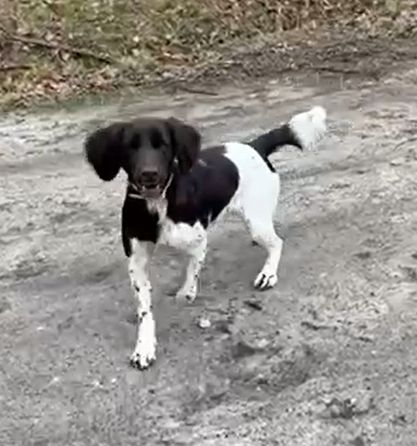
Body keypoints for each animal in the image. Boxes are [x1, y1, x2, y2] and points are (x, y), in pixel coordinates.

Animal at [84, 106, 327, 370]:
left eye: (164, 144)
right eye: (130, 146)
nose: (149, 174)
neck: (158, 204)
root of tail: (254, 146)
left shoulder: (198, 241)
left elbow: (193, 270)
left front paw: (187, 292)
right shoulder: (136, 260)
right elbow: (145, 310)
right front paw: (144, 347)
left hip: (256, 221)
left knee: (277, 243)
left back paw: (268, 274)